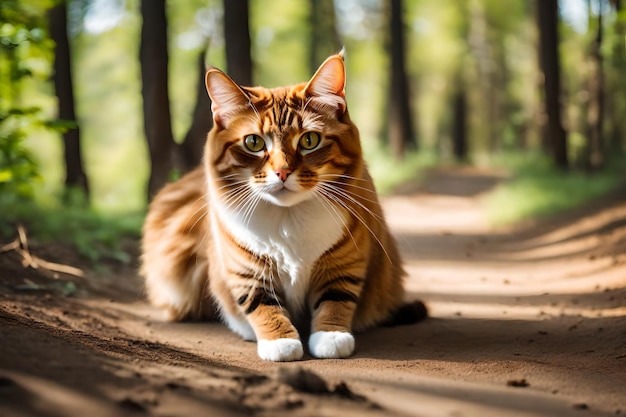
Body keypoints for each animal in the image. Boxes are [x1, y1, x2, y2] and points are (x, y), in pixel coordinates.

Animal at [140, 52, 424, 360]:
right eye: (253, 142)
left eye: (309, 140)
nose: (282, 172)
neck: (289, 218)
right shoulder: (245, 269)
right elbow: (260, 304)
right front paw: (279, 341)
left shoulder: (346, 260)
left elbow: (336, 297)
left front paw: (331, 336)